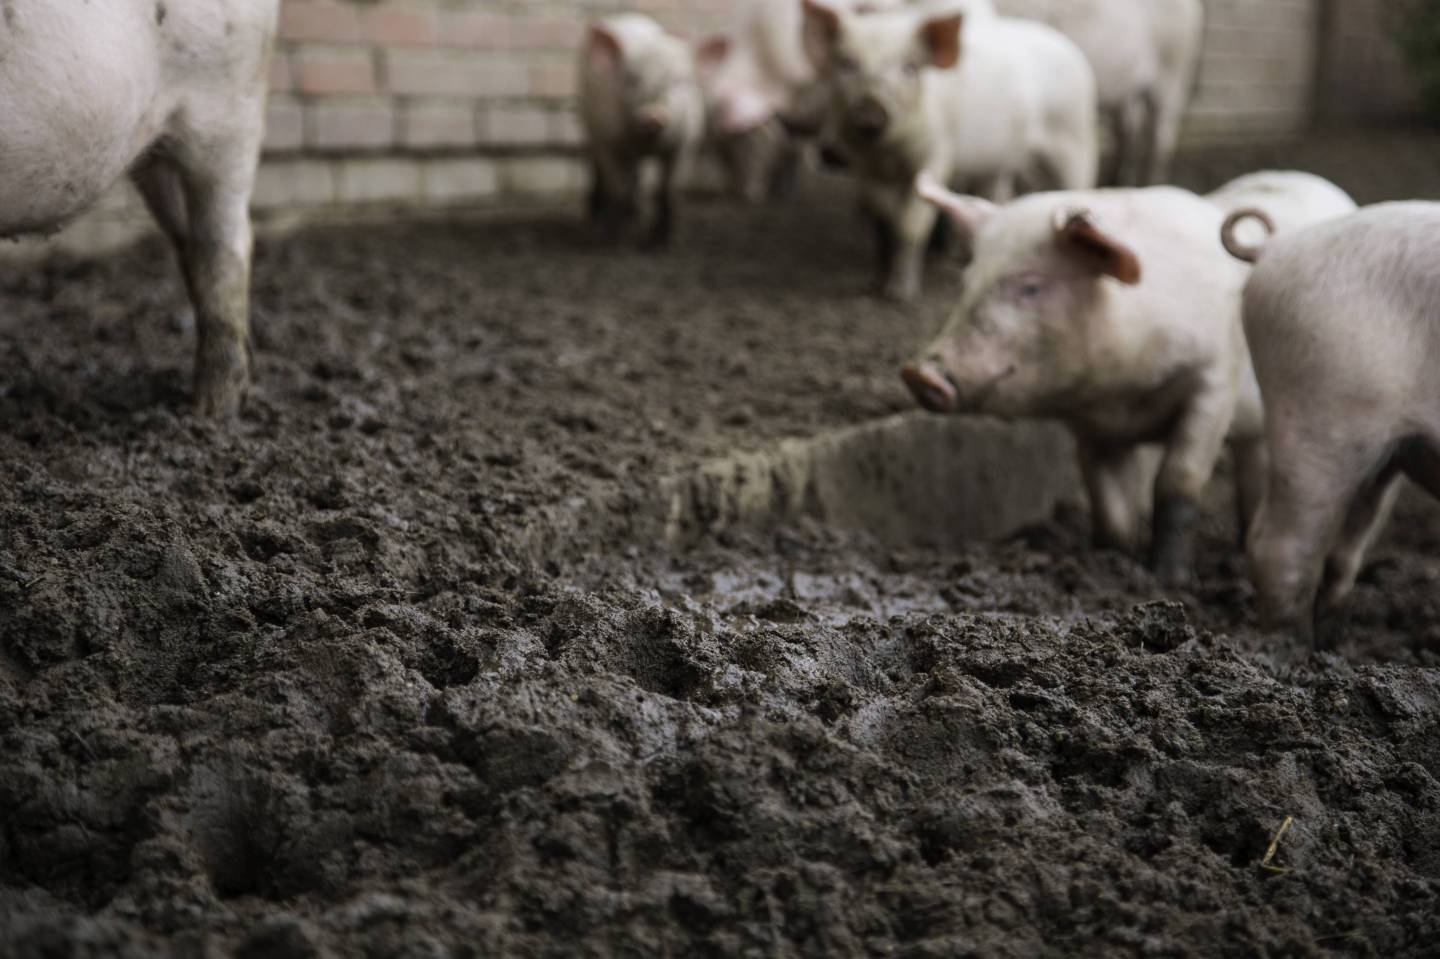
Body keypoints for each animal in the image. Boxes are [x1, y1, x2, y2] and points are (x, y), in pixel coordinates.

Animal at [580, 15, 706, 248]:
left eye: (679, 82)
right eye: (631, 80)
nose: (653, 114)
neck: (645, 142)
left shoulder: (686, 143)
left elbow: (668, 190)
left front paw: (667, 243)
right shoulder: (608, 141)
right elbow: (617, 190)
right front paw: (616, 242)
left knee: (639, 178)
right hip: (589, 125)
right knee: (599, 169)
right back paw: (595, 225)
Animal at [802, 0, 1100, 302]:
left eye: (910, 67)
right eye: (846, 63)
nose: (870, 112)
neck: (890, 154)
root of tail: (1068, 46)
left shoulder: (937, 154)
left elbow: (912, 223)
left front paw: (901, 294)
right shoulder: (866, 167)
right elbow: (887, 216)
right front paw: (878, 283)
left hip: (1074, 136)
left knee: (1078, 183)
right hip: (1000, 162)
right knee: (996, 195)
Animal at [900, 171, 1356, 585]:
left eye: (1031, 286)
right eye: (966, 282)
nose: (920, 373)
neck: (1122, 389)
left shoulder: (1214, 380)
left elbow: (1178, 481)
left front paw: (1169, 581)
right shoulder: (1090, 424)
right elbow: (1105, 496)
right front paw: (1111, 560)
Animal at [994, 0, 1205, 186]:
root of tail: (1194, 6)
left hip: (1174, 70)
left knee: (1161, 137)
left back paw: (1148, 183)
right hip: (1125, 93)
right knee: (1128, 131)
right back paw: (1113, 182)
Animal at [1221, 202, 1440, 645]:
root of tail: (1275, 247)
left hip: (1384, 449)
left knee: (1342, 549)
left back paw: (1330, 642)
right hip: (1319, 410)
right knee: (1279, 546)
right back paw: (1290, 650)